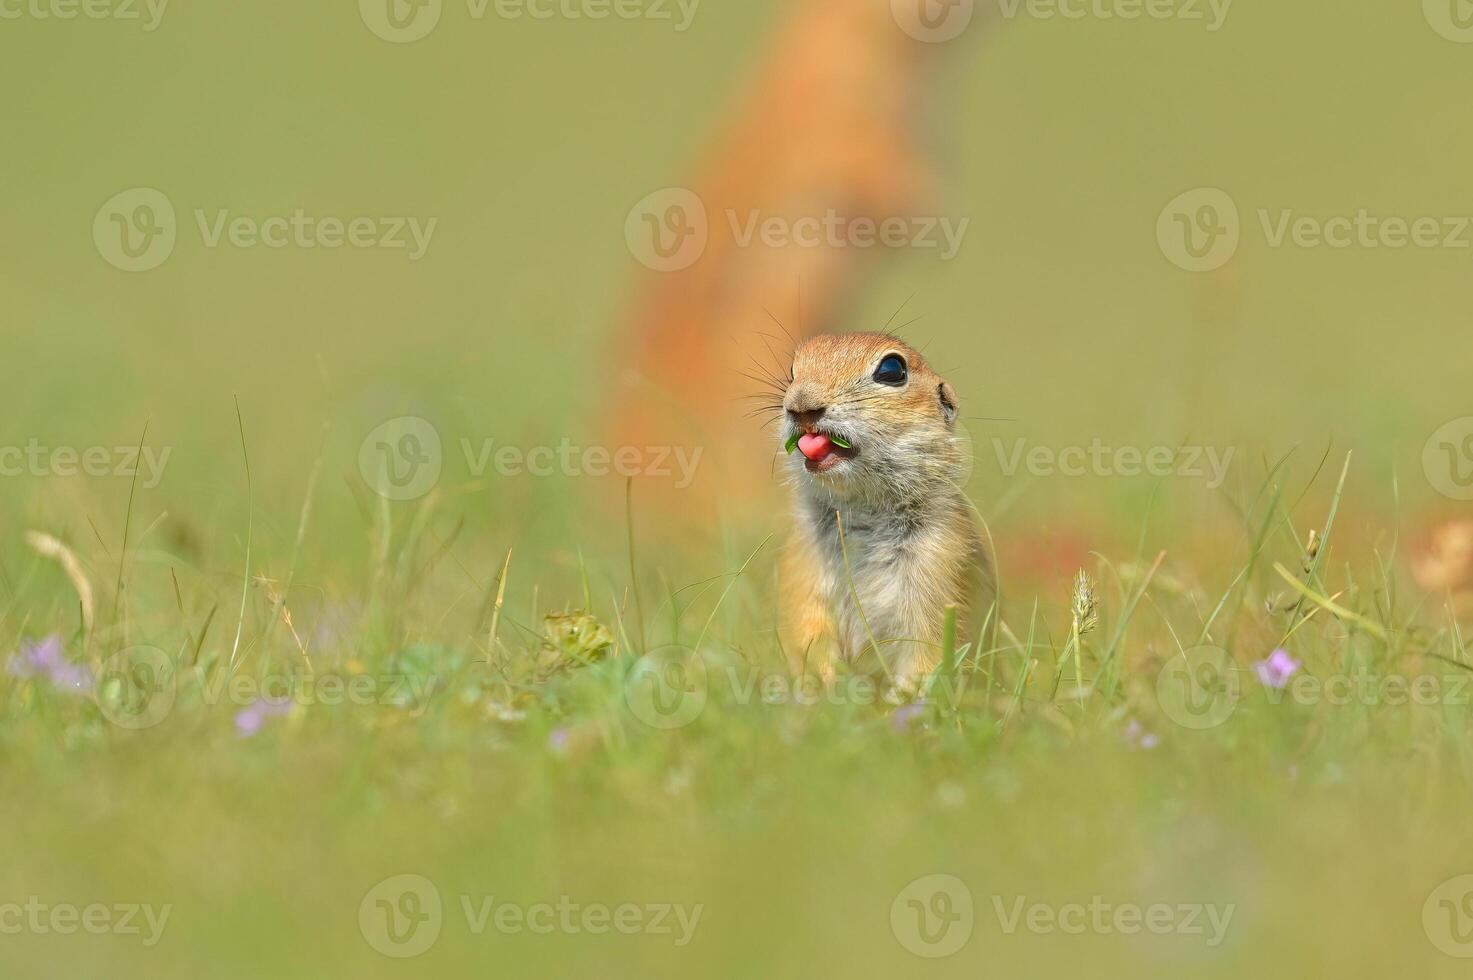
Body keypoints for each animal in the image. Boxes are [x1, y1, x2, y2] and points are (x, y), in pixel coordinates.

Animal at [777, 333, 995, 692]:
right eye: (793, 371)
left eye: (892, 369)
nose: (800, 405)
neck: (863, 508)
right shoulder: (803, 567)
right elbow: (809, 628)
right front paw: (828, 685)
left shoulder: (940, 566)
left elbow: (929, 646)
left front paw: (905, 696)